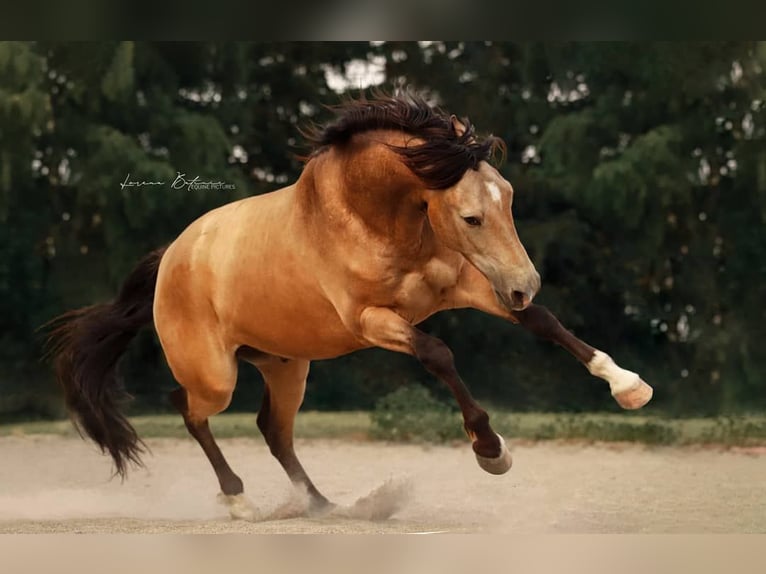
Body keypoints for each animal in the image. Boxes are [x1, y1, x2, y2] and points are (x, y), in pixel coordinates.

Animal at [45, 92, 652, 520]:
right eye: (471, 216)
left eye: (508, 197)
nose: (526, 282)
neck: (371, 219)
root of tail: (171, 256)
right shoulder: (374, 322)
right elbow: (439, 353)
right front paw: (490, 449)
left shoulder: (467, 287)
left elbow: (543, 323)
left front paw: (628, 386)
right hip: (216, 376)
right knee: (189, 409)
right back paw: (240, 502)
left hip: (286, 366)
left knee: (273, 430)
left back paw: (323, 506)